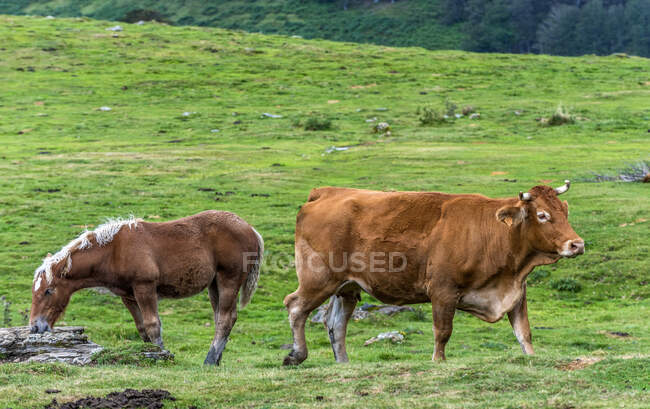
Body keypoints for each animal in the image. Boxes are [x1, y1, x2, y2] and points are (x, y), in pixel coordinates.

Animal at [29, 210, 264, 364]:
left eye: (48, 291)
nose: (34, 327)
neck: (114, 250)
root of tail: (251, 229)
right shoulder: (128, 295)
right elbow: (142, 327)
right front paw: (149, 352)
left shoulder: (145, 287)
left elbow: (152, 325)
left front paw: (161, 354)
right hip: (214, 284)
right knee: (220, 318)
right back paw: (217, 359)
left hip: (228, 279)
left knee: (225, 318)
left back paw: (209, 359)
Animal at [284, 180, 584, 362]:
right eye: (542, 215)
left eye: (564, 211)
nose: (577, 244)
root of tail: (327, 192)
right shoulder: (443, 291)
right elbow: (443, 331)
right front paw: (438, 360)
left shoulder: (516, 293)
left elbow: (524, 333)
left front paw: (532, 357)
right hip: (318, 280)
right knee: (295, 306)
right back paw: (297, 354)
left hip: (346, 286)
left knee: (335, 324)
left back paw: (344, 363)